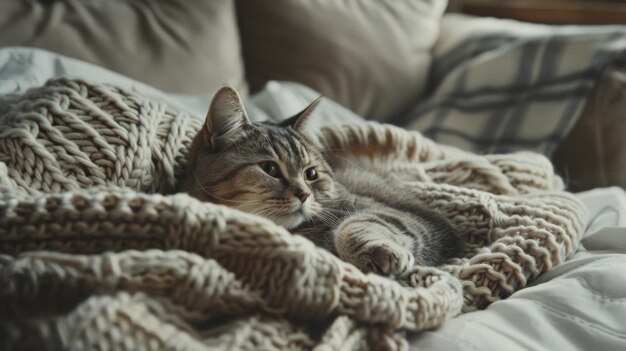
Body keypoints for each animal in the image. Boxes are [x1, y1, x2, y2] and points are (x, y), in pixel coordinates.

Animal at [178, 86, 460, 276]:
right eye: (270, 168)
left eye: (311, 174)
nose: (304, 194)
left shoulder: (417, 219)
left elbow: (357, 223)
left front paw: (379, 251)